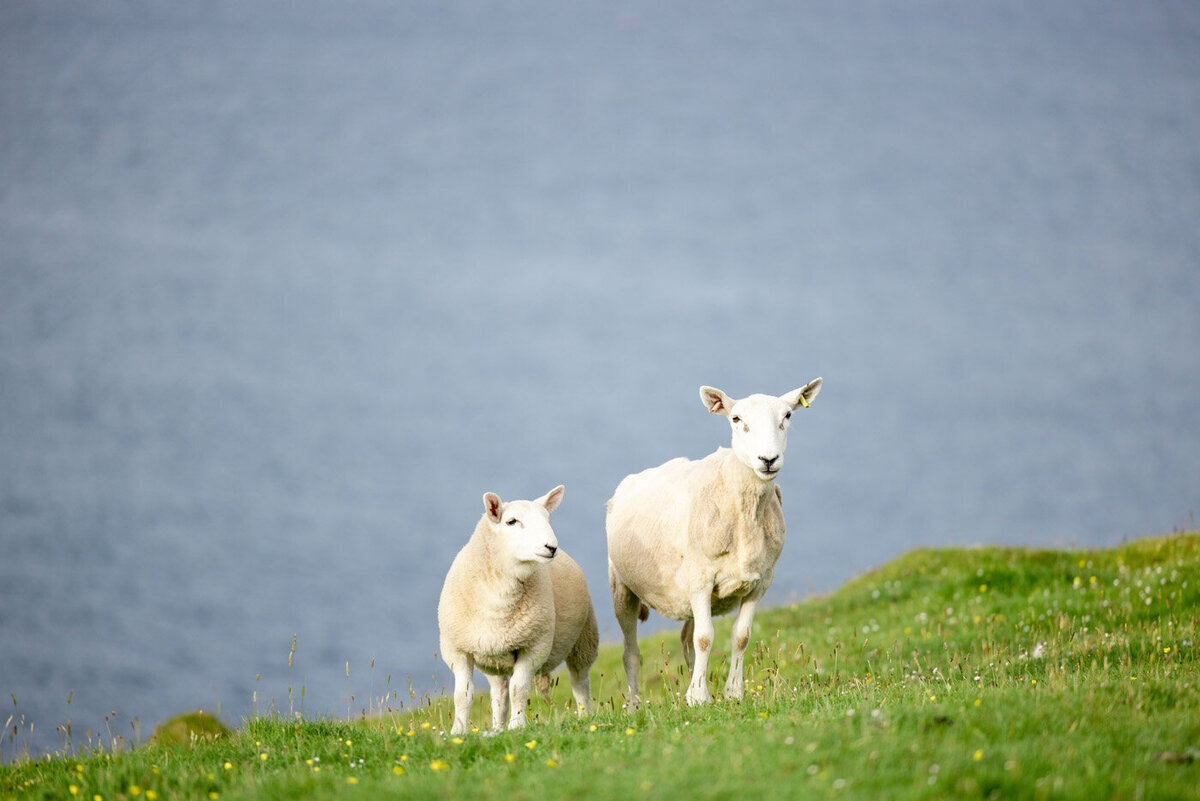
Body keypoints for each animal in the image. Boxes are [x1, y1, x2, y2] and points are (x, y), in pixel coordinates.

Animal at [439, 484, 597, 733]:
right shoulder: (457, 650)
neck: (498, 605)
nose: (551, 547)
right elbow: (463, 695)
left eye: (547, 518)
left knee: (580, 682)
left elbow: (519, 689)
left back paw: (585, 717)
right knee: (499, 695)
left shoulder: (534, 647)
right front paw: (458, 731)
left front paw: (517, 726)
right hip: (493, 659)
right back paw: (496, 728)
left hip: (584, 640)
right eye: (512, 521)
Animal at [609, 378, 825, 705]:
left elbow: (740, 636)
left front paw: (731, 692)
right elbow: (705, 638)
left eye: (787, 416)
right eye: (736, 419)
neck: (745, 516)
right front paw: (700, 697)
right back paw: (634, 704)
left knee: (686, 639)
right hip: (623, 587)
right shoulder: (700, 578)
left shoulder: (761, 581)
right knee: (631, 652)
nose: (768, 459)